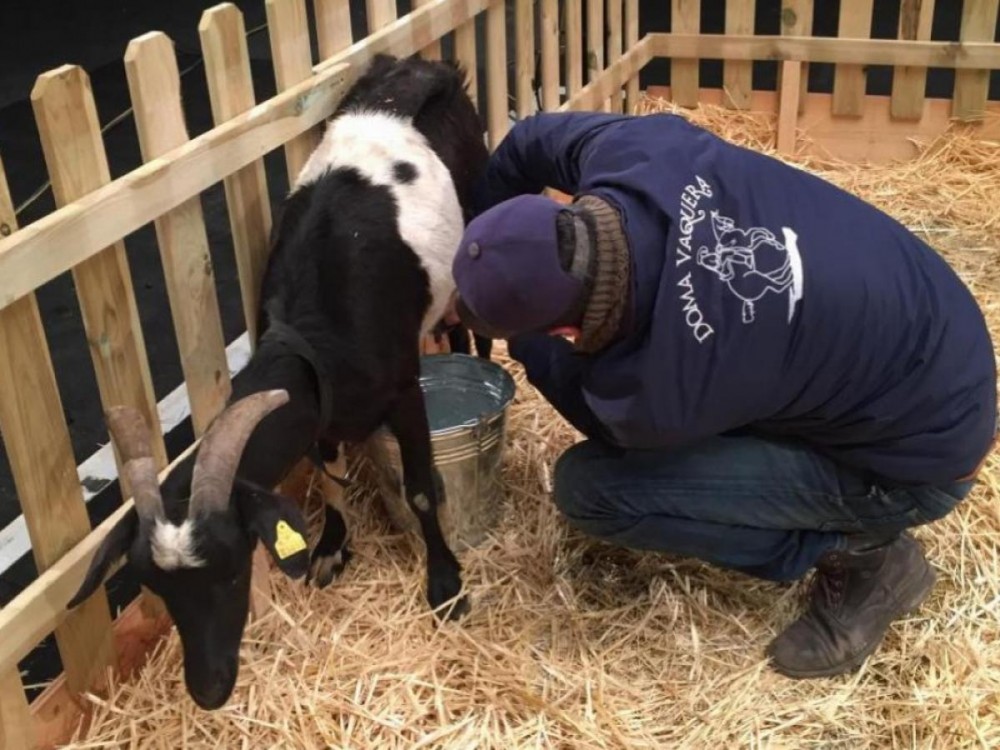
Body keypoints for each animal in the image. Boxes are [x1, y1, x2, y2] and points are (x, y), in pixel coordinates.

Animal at [68, 54, 491, 710]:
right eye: (154, 585)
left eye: (234, 568)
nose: (209, 688)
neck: (313, 332)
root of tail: (416, 65)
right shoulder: (322, 410)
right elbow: (331, 480)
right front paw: (331, 549)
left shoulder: (403, 391)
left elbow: (422, 489)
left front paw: (446, 587)